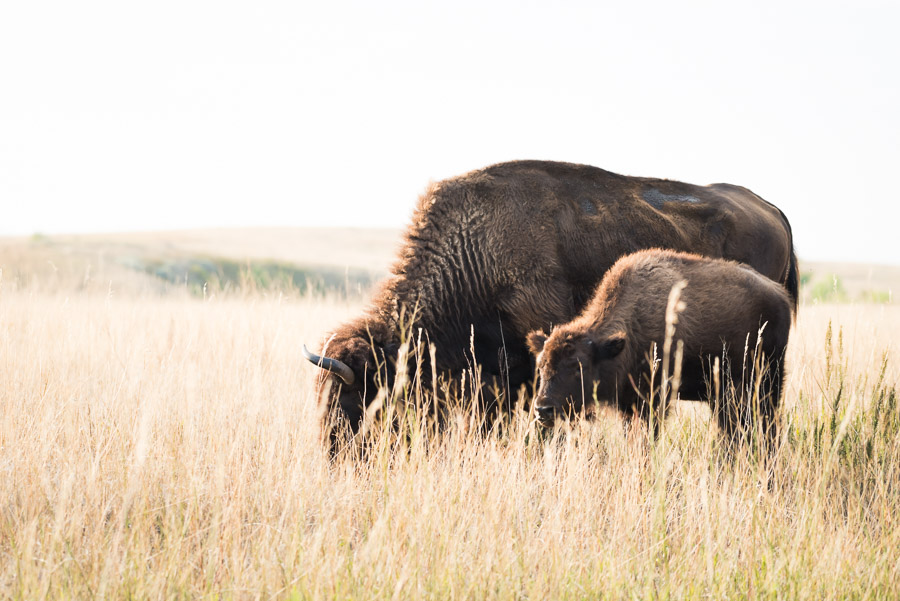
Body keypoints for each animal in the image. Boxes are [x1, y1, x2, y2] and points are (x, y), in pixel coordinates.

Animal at [527, 249, 792, 450]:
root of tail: (780, 296)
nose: (543, 410)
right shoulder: (629, 403)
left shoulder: (653, 399)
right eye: (541, 367)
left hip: (768, 381)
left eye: (578, 367)